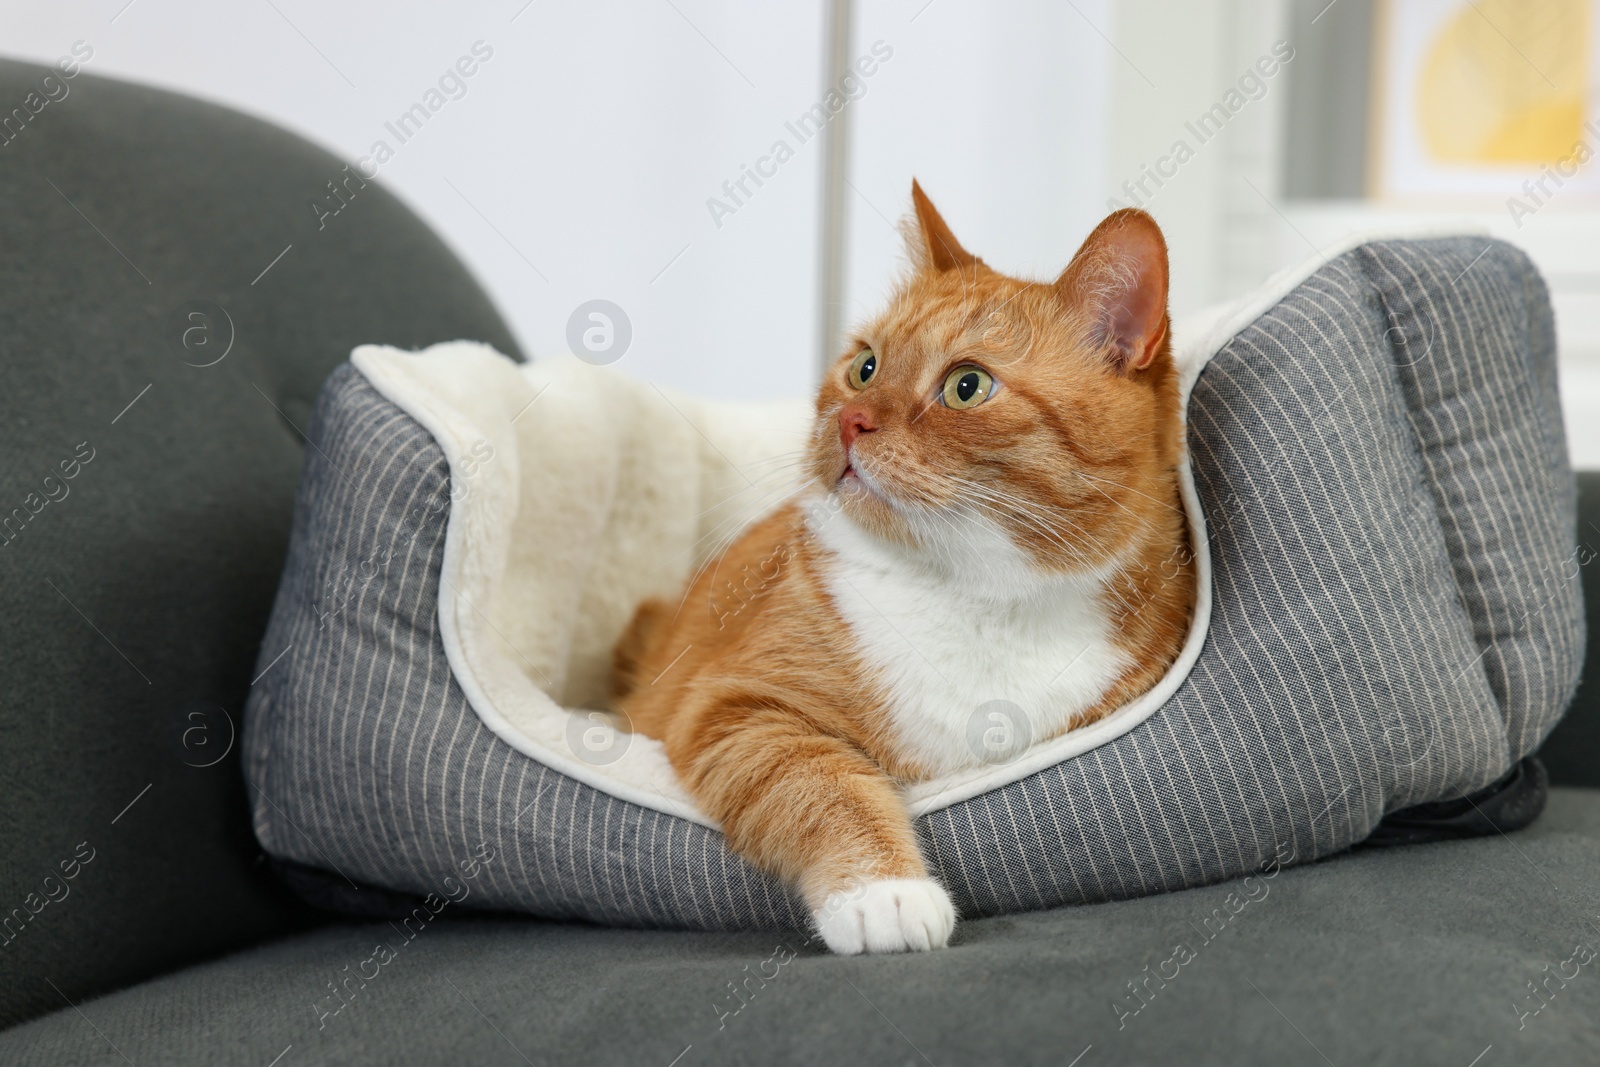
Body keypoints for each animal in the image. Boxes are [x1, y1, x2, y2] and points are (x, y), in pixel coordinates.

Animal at [617, 181, 1196, 953]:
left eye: (967, 385)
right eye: (864, 366)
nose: (850, 419)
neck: (974, 597)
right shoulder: (736, 705)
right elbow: (824, 783)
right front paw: (882, 891)